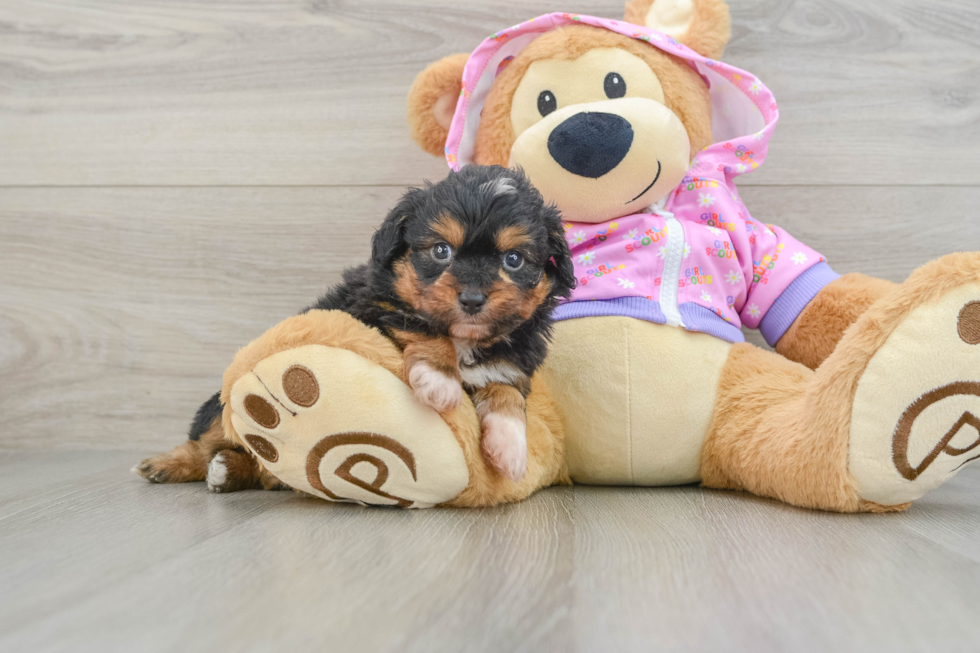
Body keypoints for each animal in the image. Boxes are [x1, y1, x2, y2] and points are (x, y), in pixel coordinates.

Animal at [136, 166, 576, 492]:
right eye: (441, 251)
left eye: (514, 260)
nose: (471, 299)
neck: (467, 338)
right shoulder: (373, 309)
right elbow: (424, 326)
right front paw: (440, 381)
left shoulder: (515, 355)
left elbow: (506, 390)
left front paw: (510, 447)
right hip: (218, 410)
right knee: (208, 438)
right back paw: (172, 464)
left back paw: (231, 470)